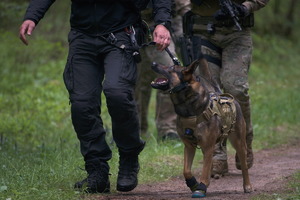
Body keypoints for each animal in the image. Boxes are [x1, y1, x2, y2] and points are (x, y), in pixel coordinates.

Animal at [151, 55, 252, 198]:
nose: (153, 63)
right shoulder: (189, 146)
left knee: (244, 165)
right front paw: (193, 183)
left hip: (238, 142)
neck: (189, 110)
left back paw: (247, 185)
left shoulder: (208, 146)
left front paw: (201, 187)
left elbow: (204, 171)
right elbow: (187, 170)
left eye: (171, 68)